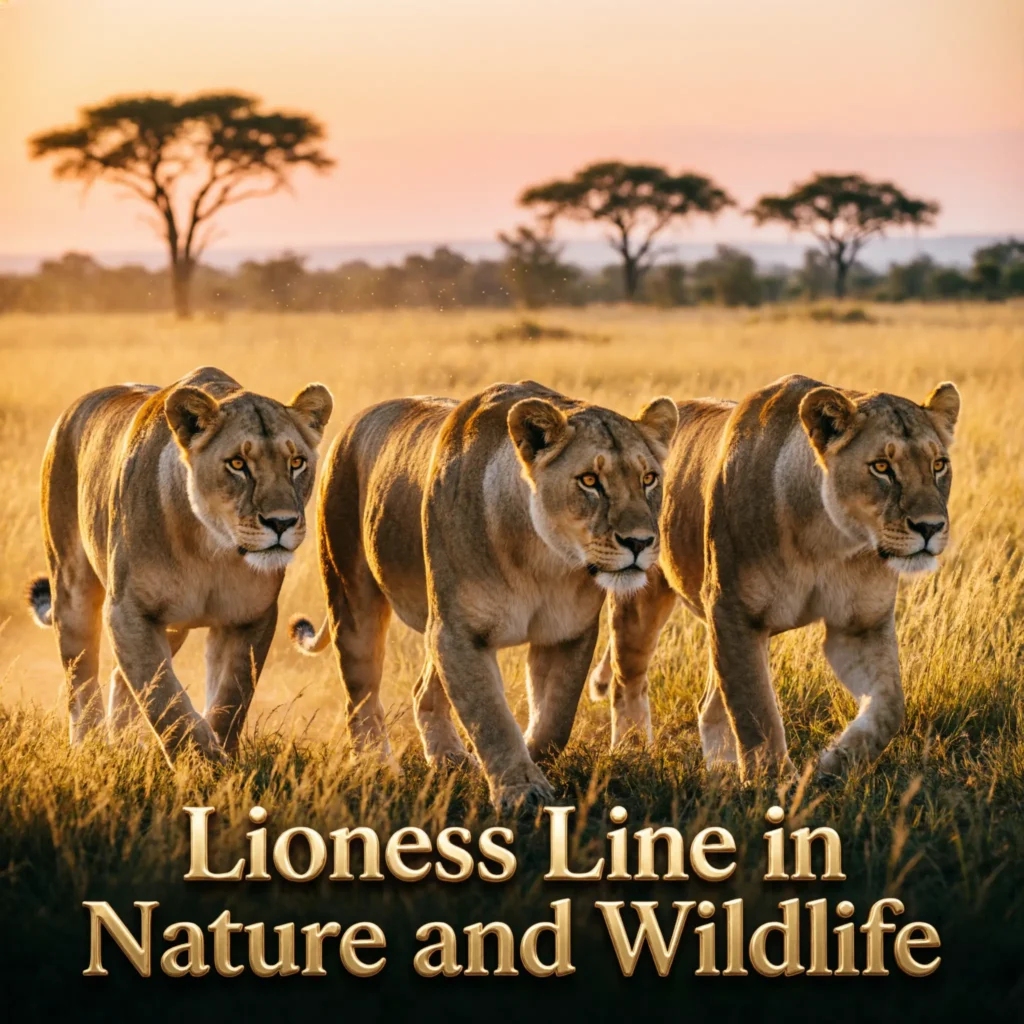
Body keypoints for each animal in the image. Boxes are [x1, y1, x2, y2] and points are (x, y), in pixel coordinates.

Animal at [27, 366, 333, 763]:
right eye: (237, 464)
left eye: (296, 463)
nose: (281, 523)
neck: (213, 550)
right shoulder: (128, 612)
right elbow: (164, 698)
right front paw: (202, 761)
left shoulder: (251, 617)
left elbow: (231, 699)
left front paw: (222, 759)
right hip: (72, 587)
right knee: (81, 678)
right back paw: (88, 748)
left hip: (172, 626)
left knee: (120, 680)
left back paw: (126, 743)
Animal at [290, 380, 678, 811]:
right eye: (590, 481)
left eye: (648, 479)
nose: (639, 542)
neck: (541, 558)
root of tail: (354, 422)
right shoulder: (459, 634)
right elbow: (490, 717)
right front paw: (522, 791)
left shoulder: (566, 633)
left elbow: (555, 719)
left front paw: (530, 760)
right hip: (352, 597)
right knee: (360, 694)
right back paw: (376, 766)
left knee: (423, 691)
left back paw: (451, 759)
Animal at [587, 373, 960, 777]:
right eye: (881, 467)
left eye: (939, 465)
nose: (930, 527)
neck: (829, 541)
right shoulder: (735, 614)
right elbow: (756, 713)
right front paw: (773, 783)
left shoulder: (860, 626)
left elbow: (890, 707)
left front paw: (835, 761)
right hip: (641, 599)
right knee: (628, 681)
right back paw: (632, 753)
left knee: (709, 705)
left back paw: (721, 774)